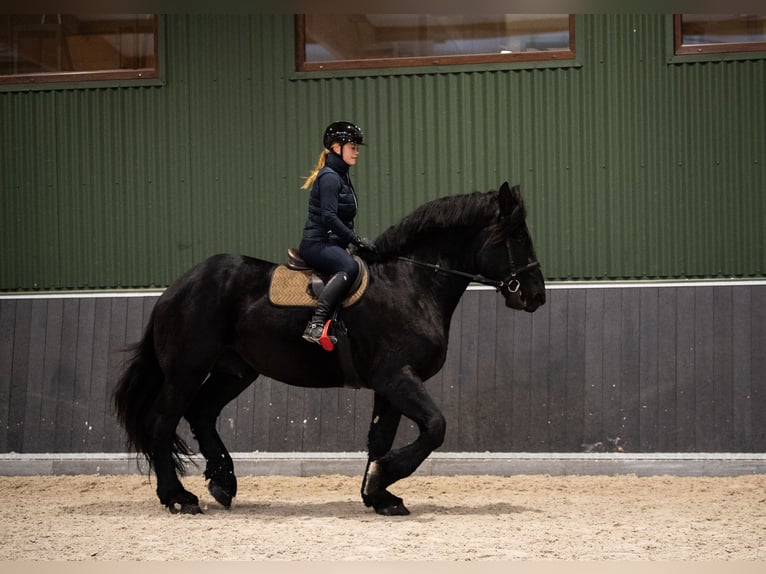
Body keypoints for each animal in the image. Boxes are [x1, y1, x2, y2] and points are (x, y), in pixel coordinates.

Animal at [112, 183, 544, 516]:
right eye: (519, 237)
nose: (536, 295)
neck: (410, 283)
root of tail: (177, 288)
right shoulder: (397, 377)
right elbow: (435, 427)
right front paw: (384, 477)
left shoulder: (388, 385)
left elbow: (380, 439)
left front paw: (379, 494)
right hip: (185, 371)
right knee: (163, 422)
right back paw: (178, 497)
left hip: (235, 371)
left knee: (202, 413)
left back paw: (223, 483)